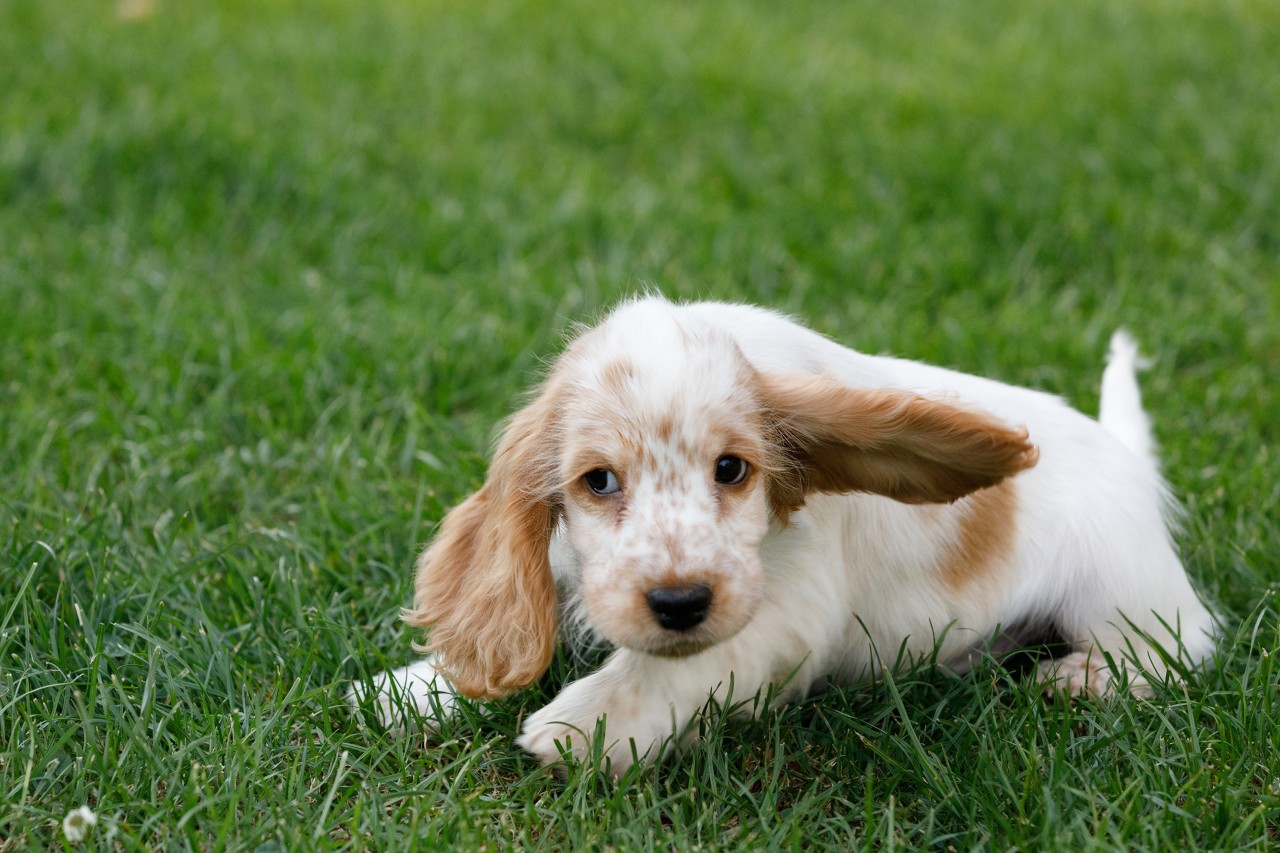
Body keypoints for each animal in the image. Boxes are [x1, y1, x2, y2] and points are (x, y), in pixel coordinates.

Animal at [348, 295, 1208, 773]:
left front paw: (586, 724)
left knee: (1181, 645)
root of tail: (1124, 453)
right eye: (598, 480)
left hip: (1121, 586)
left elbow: (682, 664)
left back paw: (1080, 677)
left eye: (733, 469)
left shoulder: (791, 606)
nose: (678, 600)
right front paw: (409, 689)